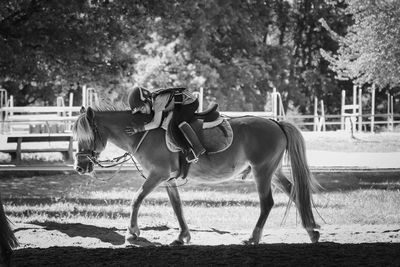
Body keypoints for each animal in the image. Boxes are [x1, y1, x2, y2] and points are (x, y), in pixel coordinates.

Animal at [72, 103, 322, 246]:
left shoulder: (157, 175)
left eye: (88, 135)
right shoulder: (168, 180)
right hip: (273, 171)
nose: (80, 167)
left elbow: (136, 199)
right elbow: (177, 207)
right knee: (295, 192)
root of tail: (275, 123)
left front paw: (132, 233)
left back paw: (253, 237)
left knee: (267, 203)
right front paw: (182, 236)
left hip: (262, 171)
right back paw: (311, 231)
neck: (144, 134)